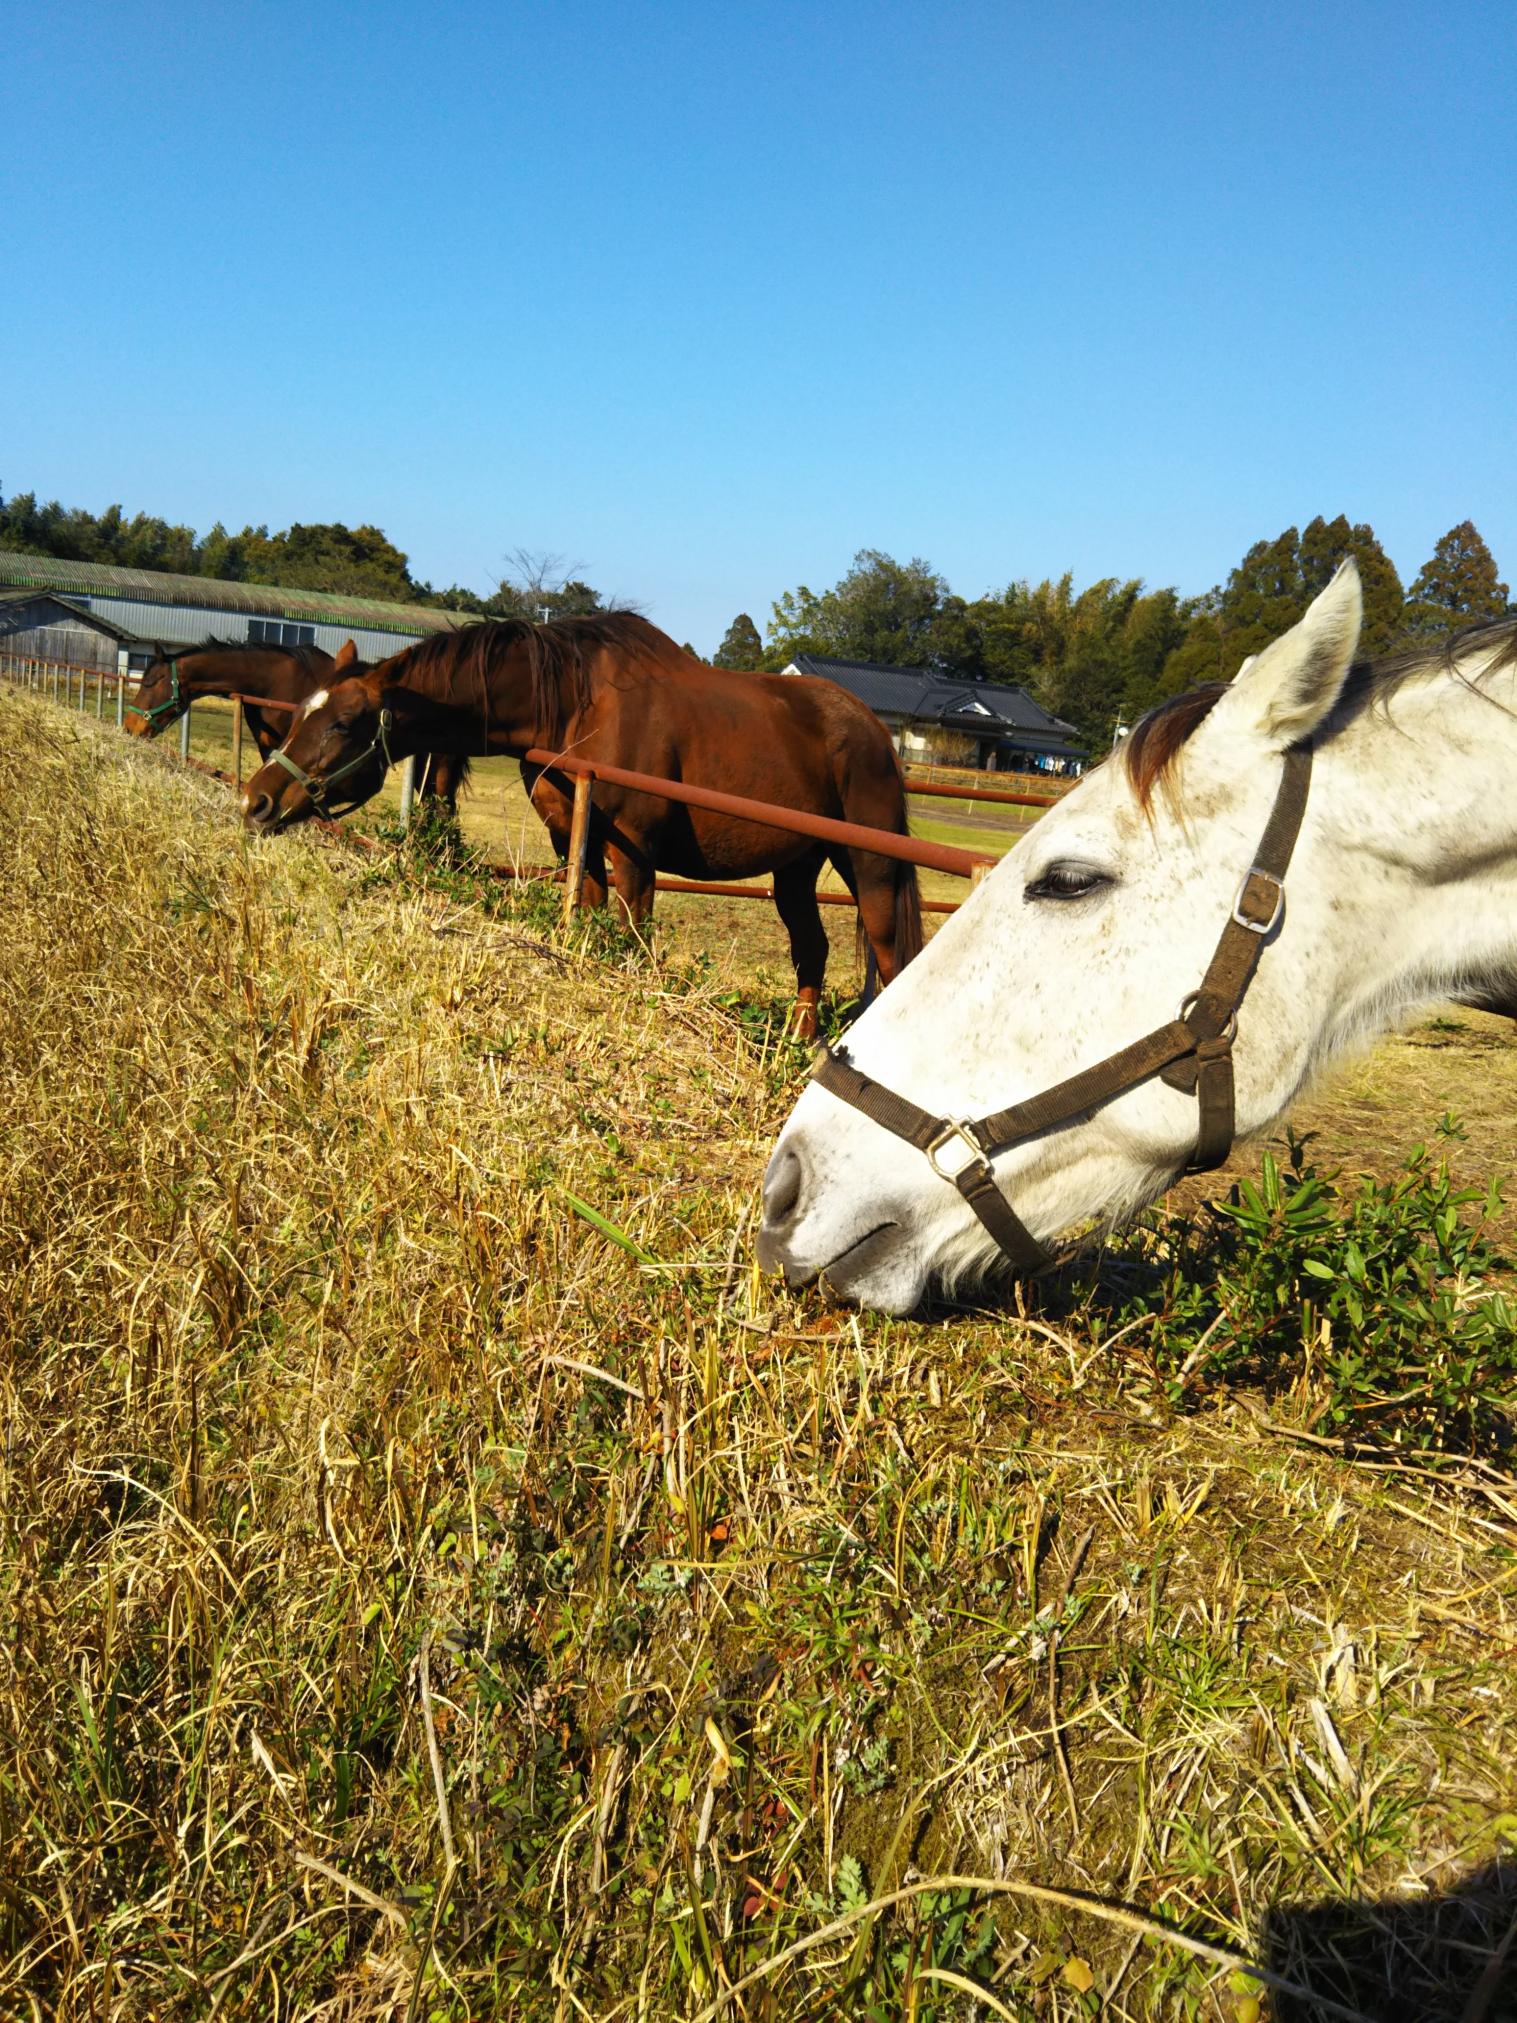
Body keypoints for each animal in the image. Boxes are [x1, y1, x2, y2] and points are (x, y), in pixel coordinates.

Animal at [240, 610, 926, 1027]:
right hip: (796, 869)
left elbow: (633, 938)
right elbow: (592, 926)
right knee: (812, 949)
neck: (576, 707)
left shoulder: (636, 851)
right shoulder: (576, 840)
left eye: (343, 723)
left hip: (871, 868)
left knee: (892, 959)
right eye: (302, 711)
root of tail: (875, 732)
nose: (257, 801)